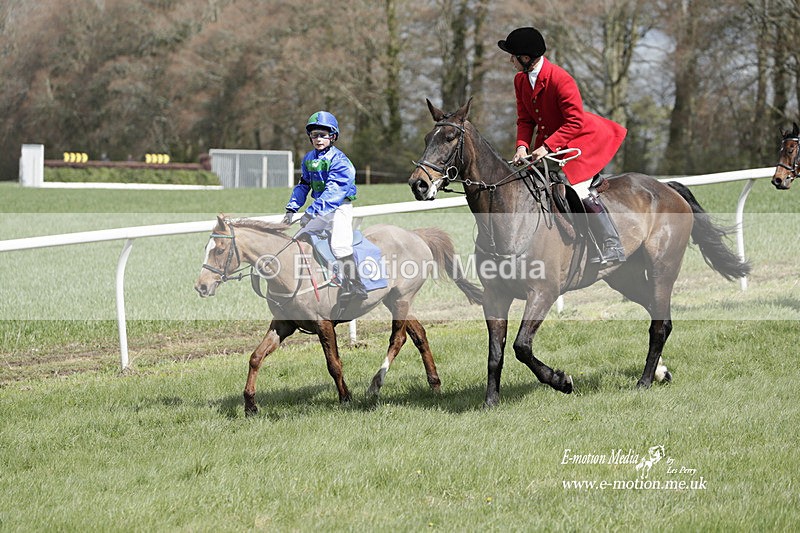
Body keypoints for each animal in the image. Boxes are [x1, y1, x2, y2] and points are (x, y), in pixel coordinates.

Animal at [194, 214, 483, 415]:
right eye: (206, 248)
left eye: (219, 250)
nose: (201, 286)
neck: (289, 270)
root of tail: (415, 235)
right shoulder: (283, 325)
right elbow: (255, 358)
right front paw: (250, 404)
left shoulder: (323, 324)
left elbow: (333, 364)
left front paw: (345, 398)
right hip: (394, 300)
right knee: (419, 334)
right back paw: (434, 383)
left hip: (402, 298)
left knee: (397, 339)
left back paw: (375, 384)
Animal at [408, 99, 751, 407]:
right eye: (425, 139)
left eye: (449, 138)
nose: (418, 185)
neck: (509, 215)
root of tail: (666, 188)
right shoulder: (494, 296)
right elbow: (496, 353)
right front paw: (491, 402)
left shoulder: (542, 293)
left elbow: (521, 346)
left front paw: (561, 380)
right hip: (624, 277)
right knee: (657, 313)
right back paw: (660, 372)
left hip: (661, 269)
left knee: (659, 325)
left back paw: (643, 381)